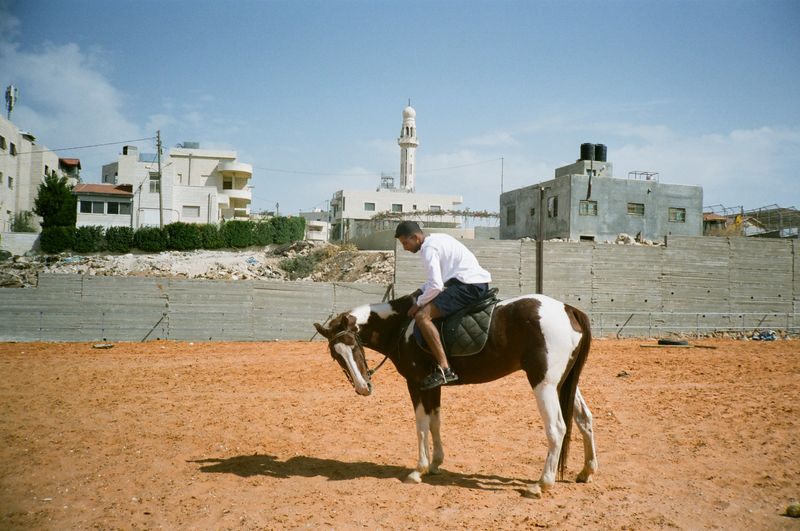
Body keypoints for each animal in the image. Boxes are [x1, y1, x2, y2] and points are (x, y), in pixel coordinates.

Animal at [313, 292, 597, 498]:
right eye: (336, 355)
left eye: (354, 345)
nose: (363, 387)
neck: (403, 326)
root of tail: (567, 309)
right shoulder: (433, 385)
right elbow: (435, 421)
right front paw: (436, 463)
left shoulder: (416, 384)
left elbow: (421, 424)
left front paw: (418, 470)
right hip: (564, 383)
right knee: (584, 419)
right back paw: (586, 471)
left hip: (544, 384)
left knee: (556, 428)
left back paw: (542, 484)